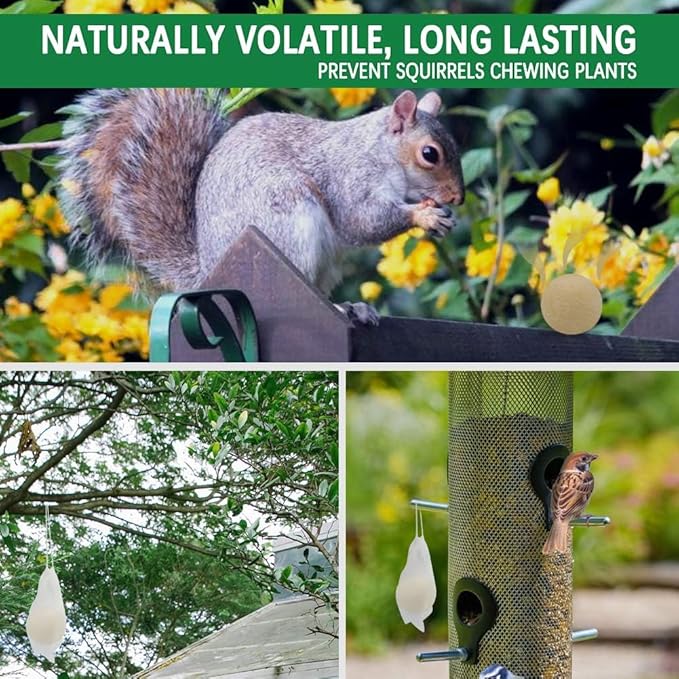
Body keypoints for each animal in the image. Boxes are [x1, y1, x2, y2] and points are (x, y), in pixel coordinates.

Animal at [57, 88, 465, 324]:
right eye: (430, 154)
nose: (458, 198)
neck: (380, 152)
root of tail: (207, 267)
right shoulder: (348, 179)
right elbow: (362, 221)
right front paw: (424, 214)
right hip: (286, 219)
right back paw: (337, 309)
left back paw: (351, 308)